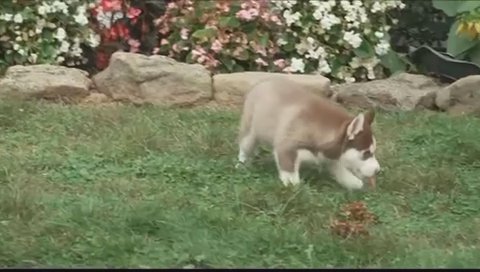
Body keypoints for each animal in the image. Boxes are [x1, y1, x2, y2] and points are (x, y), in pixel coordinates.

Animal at [235, 77, 378, 190]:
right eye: (366, 153)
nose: (378, 170)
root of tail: (262, 82)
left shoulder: (331, 156)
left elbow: (341, 170)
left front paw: (353, 182)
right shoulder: (287, 147)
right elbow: (289, 171)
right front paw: (293, 185)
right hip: (249, 132)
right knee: (245, 147)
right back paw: (243, 164)